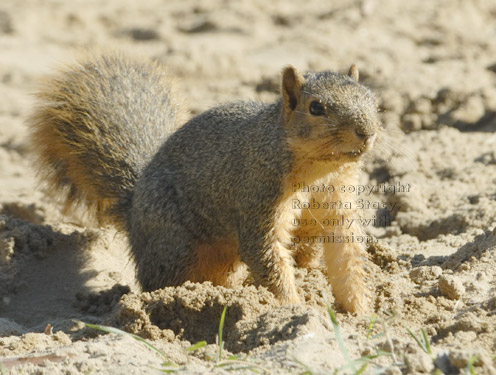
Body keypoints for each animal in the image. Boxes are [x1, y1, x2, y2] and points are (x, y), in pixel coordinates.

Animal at [28, 53, 380, 314]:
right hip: (174, 244)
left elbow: (348, 259)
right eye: (316, 107)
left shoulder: (339, 206)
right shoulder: (259, 196)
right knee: (159, 280)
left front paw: (362, 312)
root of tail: (133, 212)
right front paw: (296, 308)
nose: (367, 131)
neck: (321, 170)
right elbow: (268, 258)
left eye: (372, 99)